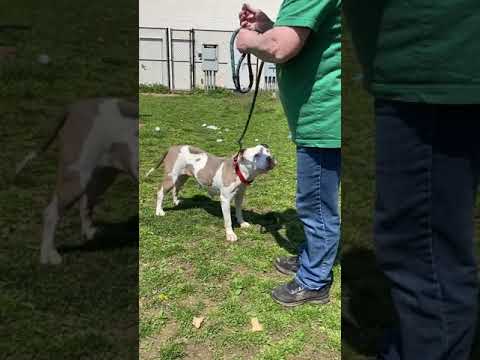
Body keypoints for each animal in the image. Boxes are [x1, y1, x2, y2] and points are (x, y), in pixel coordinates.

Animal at [15, 97, 139, 264]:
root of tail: (75, 107)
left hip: (102, 175)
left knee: (85, 202)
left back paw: (90, 233)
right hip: (77, 177)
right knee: (51, 213)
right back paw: (48, 255)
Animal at [144, 144, 276, 242]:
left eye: (268, 152)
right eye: (256, 155)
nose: (270, 158)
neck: (239, 170)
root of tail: (173, 147)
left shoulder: (239, 196)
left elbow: (239, 212)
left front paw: (242, 223)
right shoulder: (225, 199)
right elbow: (228, 220)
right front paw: (230, 234)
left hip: (182, 177)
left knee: (176, 188)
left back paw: (176, 201)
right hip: (171, 178)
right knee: (160, 192)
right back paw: (159, 211)